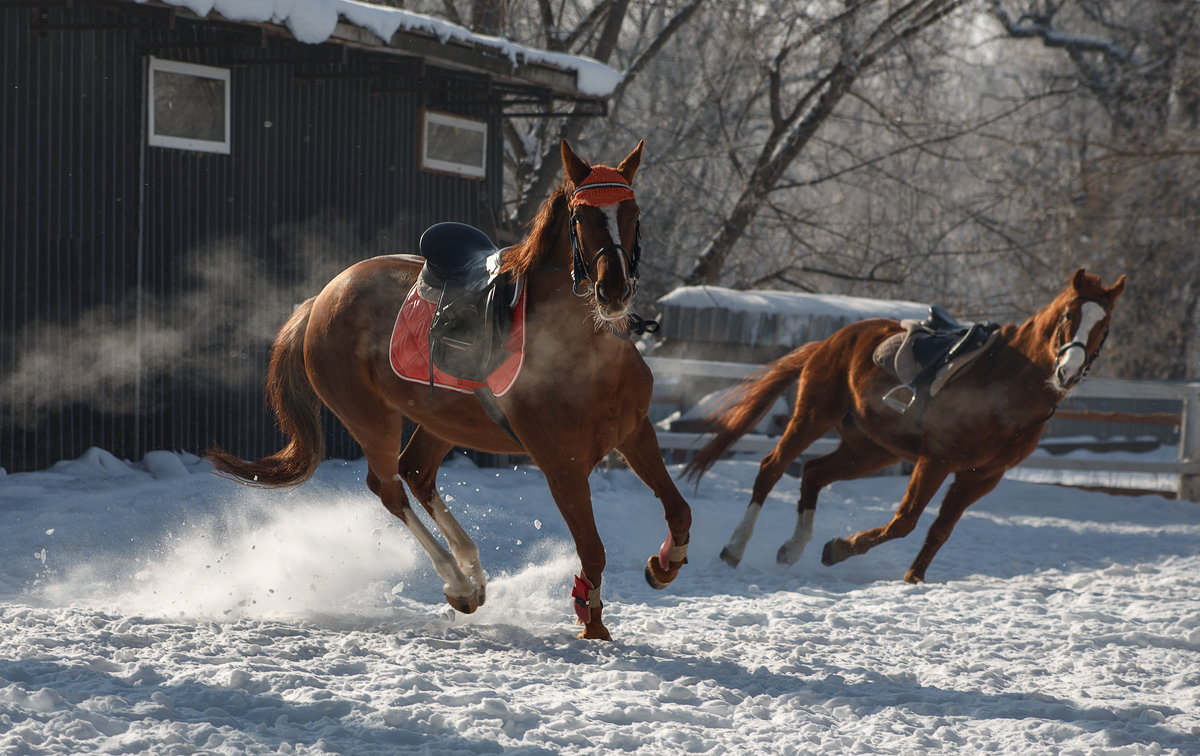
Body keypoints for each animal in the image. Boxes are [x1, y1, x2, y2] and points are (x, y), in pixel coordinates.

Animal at [208, 142, 696, 638]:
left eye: (633, 212)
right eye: (581, 216)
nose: (613, 291)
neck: (587, 354)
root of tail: (323, 296)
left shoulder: (636, 433)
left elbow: (679, 511)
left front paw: (663, 565)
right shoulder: (564, 467)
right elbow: (593, 549)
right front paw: (592, 624)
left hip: (441, 420)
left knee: (416, 473)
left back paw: (473, 571)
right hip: (371, 417)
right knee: (389, 487)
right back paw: (459, 582)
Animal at [686, 272, 1123, 585]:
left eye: (1104, 328)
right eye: (1068, 317)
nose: (1067, 373)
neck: (1004, 385)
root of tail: (835, 338)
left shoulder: (981, 477)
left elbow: (940, 530)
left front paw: (913, 579)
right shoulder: (937, 460)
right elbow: (905, 521)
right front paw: (839, 549)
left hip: (871, 449)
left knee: (813, 473)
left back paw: (792, 549)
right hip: (814, 415)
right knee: (772, 468)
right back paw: (734, 549)